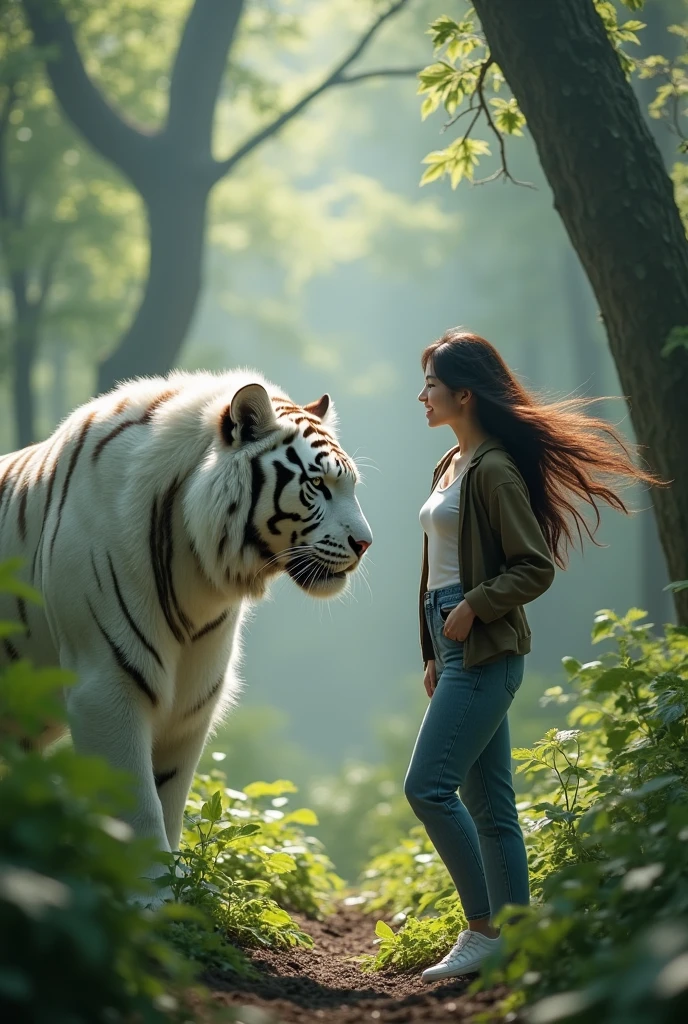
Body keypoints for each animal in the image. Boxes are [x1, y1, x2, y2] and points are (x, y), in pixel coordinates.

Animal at [0, 370, 370, 897]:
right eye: (317, 484)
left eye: (351, 486)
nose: (365, 544)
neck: (196, 567)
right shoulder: (108, 685)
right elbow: (137, 802)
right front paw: (151, 893)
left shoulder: (193, 698)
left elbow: (169, 795)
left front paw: (182, 890)